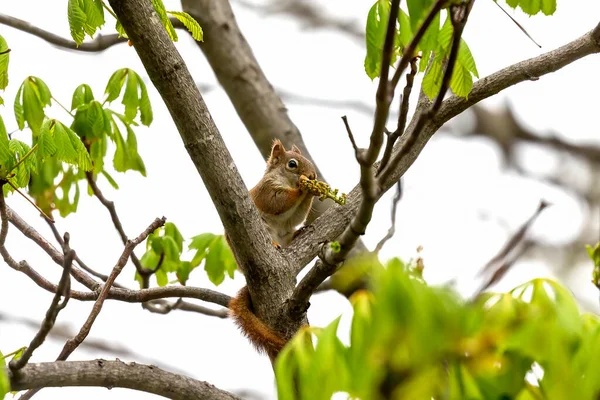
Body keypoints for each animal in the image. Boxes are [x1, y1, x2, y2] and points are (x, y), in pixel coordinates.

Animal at [226, 139, 318, 360]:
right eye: (292, 164)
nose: (312, 175)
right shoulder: (267, 190)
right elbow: (277, 202)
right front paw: (303, 188)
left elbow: (297, 215)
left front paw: (311, 190)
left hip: (286, 235)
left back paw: (300, 232)